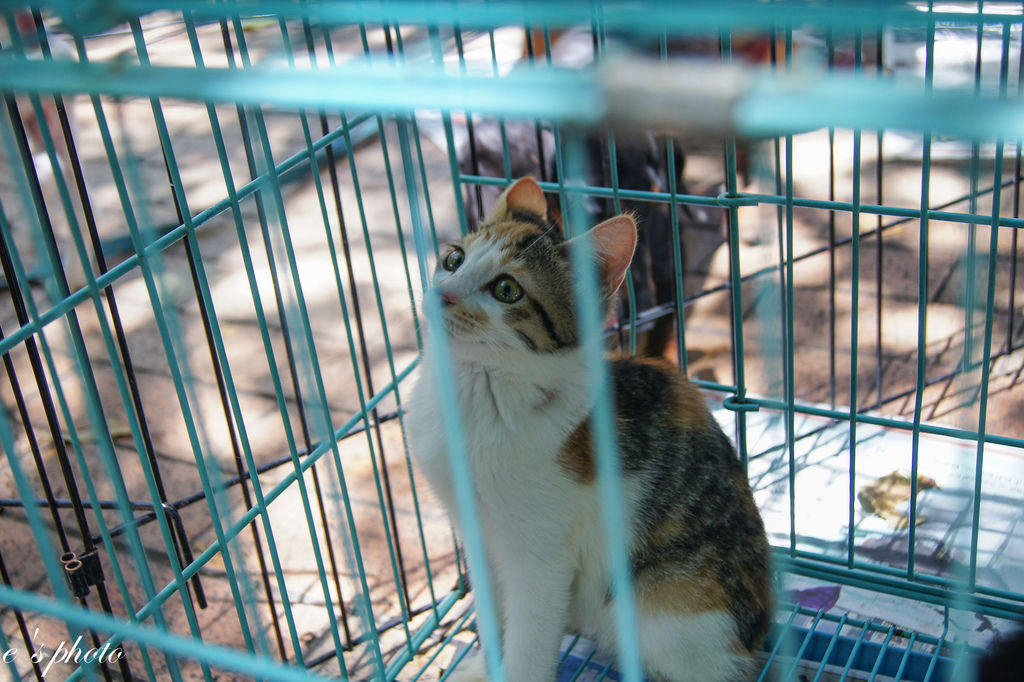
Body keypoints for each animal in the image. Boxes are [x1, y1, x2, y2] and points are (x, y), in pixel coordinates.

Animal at [403, 176, 770, 679]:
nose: (444, 294)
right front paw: (483, 665)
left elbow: (530, 639)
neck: (476, 392)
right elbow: (490, 612)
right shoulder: (476, 534)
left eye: (506, 290)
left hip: (666, 606)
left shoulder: (541, 557)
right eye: (453, 259)